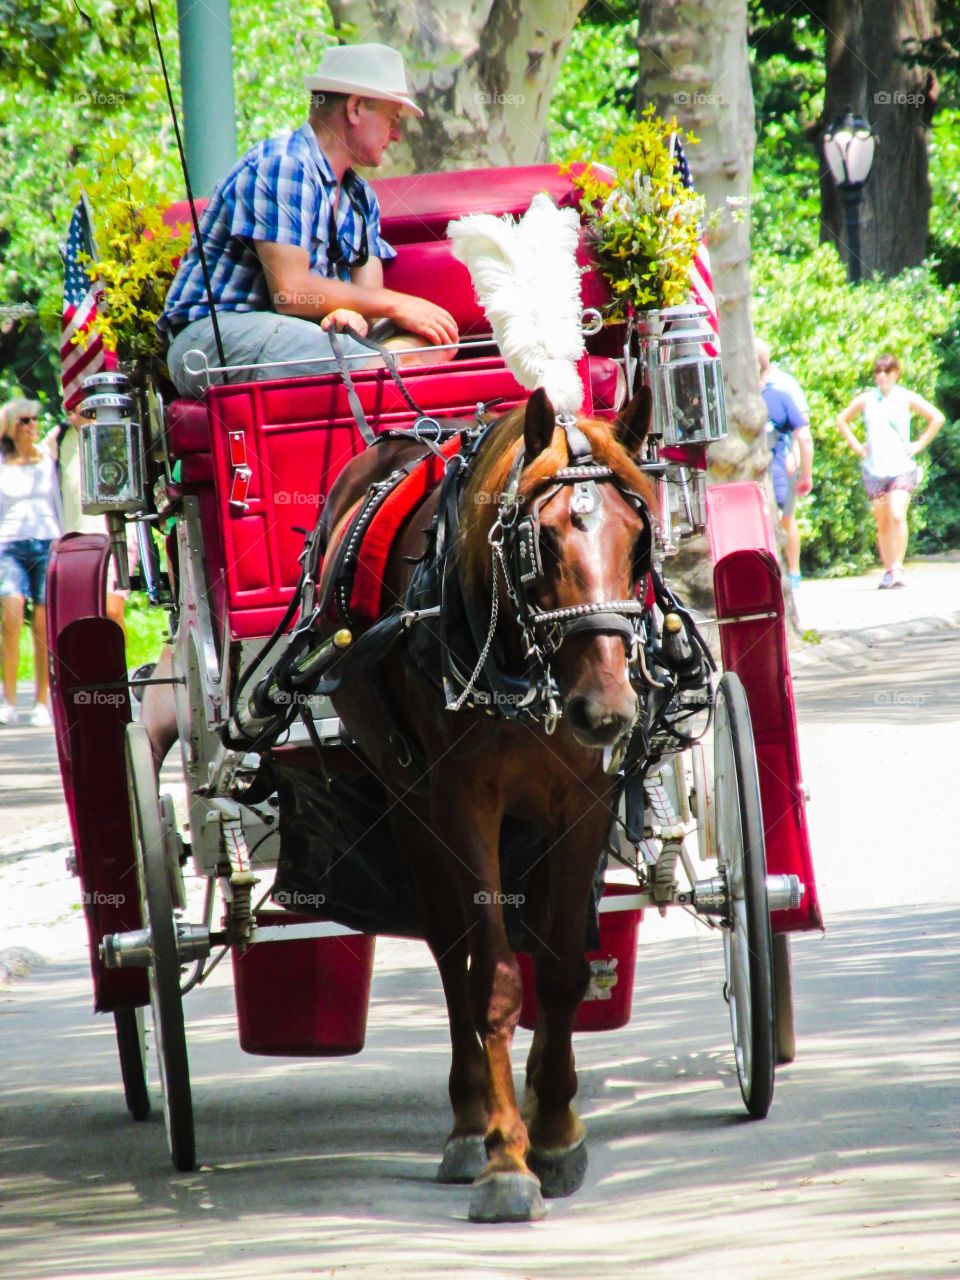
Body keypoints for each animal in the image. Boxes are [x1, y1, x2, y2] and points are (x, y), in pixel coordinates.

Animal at [316, 384, 656, 1222]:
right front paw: (508, 1159)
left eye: (638, 541)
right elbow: (494, 977)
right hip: (410, 802)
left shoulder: (586, 796)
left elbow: (562, 969)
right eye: (540, 544)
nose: (607, 710)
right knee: (449, 950)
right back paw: (472, 1124)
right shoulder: (464, 803)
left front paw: (557, 1130)